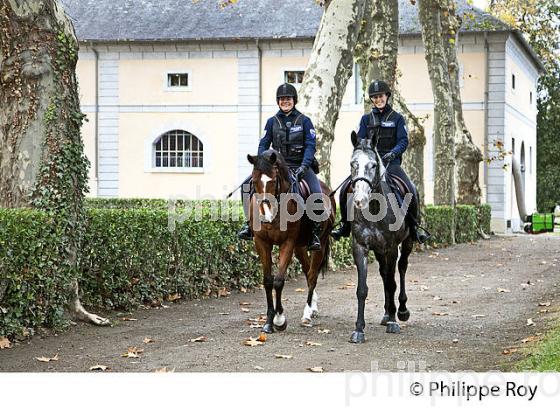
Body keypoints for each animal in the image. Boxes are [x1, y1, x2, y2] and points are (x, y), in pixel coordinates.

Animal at [247, 150, 334, 334]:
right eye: (254, 181)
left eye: (273, 180)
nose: (266, 216)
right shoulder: (261, 242)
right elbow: (268, 281)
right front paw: (269, 321)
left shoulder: (287, 242)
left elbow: (279, 281)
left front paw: (279, 320)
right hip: (300, 247)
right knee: (308, 271)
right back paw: (313, 307)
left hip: (320, 244)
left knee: (312, 275)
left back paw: (307, 313)